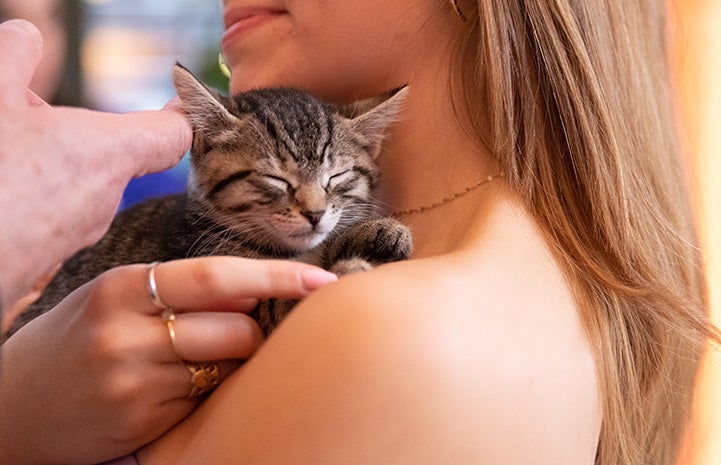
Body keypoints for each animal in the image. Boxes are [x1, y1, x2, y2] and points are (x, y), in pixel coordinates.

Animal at [9, 65, 410, 334]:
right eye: (276, 179)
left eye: (335, 177)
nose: (315, 213)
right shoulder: (238, 305)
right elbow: (285, 296)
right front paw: (345, 272)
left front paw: (378, 231)